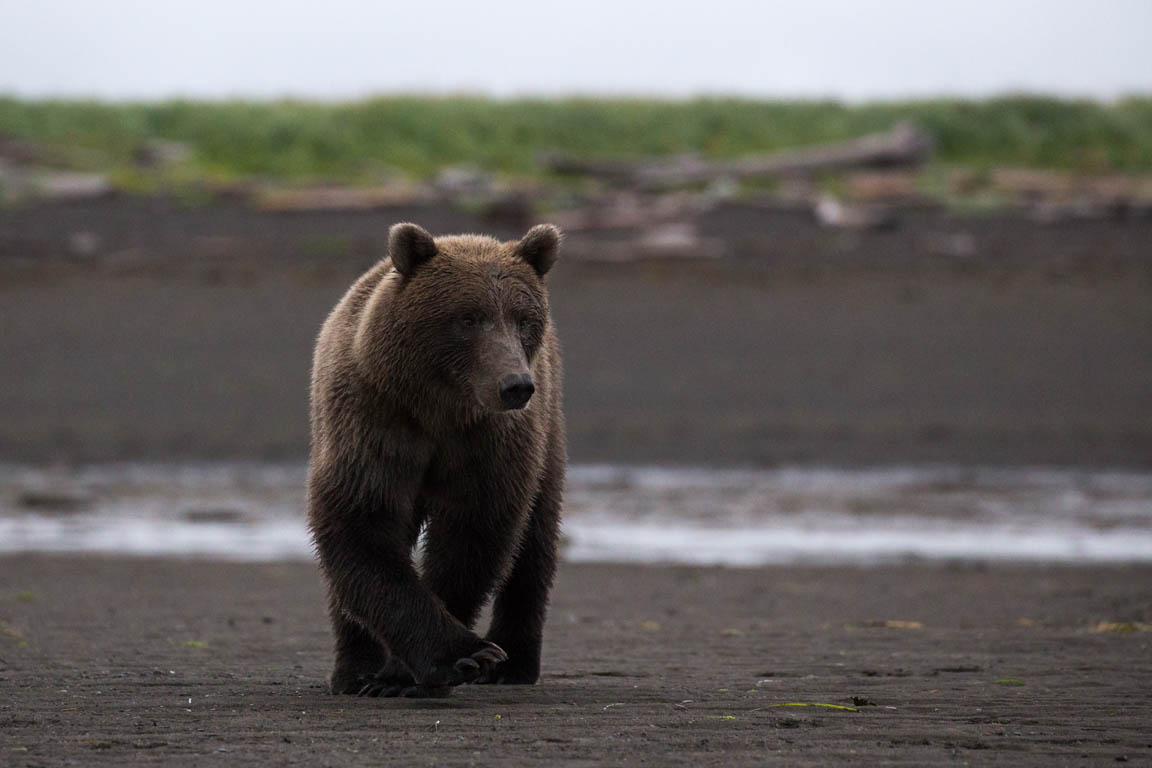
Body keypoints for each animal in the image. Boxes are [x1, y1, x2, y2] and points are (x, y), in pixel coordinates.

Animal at [311, 221, 566, 695]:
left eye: (524, 319)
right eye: (468, 317)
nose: (515, 385)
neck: (439, 409)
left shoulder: (490, 441)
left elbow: (472, 535)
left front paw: (426, 669)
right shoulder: (373, 419)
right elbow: (361, 524)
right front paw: (451, 657)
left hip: (549, 426)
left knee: (536, 535)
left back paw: (514, 663)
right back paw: (354, 670)